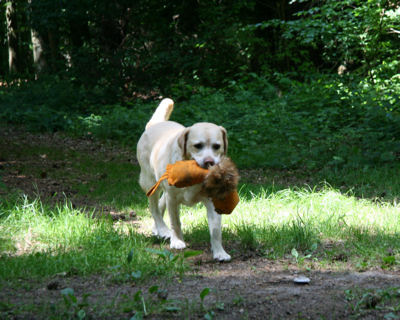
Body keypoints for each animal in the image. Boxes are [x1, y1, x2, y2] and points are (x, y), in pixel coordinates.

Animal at [138, 99, 231, 262]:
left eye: (217, 146)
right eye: (198, 145)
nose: (209, 162)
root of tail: (154, 125)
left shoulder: (212, 201)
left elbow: (215, 230)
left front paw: (220, 252)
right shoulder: (173, 198)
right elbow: (175, 222)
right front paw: (177, 241)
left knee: (160, 204)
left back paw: (158, 229)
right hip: (150, 183)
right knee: (154, 208)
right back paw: (162, 229)